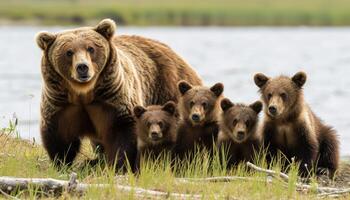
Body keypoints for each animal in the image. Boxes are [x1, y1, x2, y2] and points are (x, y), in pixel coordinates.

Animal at [35, 18, 202, 170]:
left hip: (167, 89)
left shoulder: (113, 98)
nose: (82, 67)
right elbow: (60, 134)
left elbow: (123, 130)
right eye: (69, 52)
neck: (84, 92)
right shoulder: (61, 103)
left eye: (90, 48)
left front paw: (119, 164)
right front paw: (62, 163)